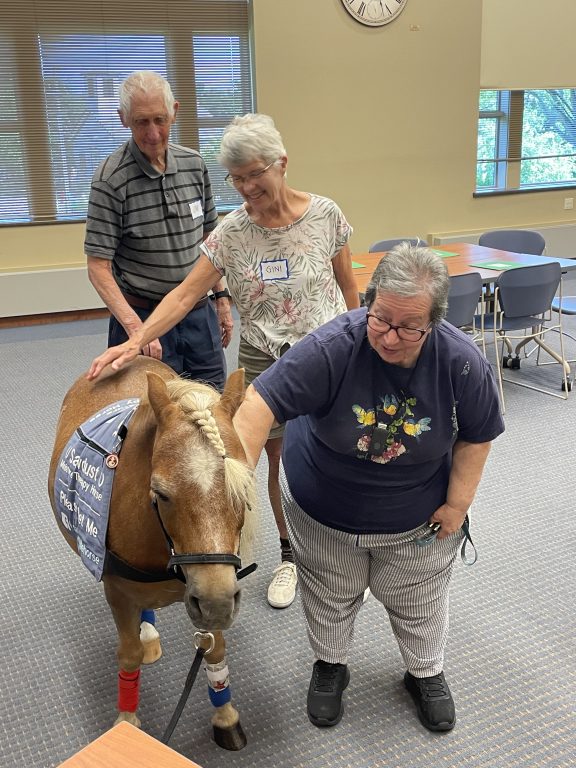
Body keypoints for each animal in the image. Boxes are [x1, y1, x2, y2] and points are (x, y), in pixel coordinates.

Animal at [48, 358, 255, 752]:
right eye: (161, 494)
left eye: (245, 487)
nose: (217, 602)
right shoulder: (118, 589)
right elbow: (128, 655)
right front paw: (127, 723)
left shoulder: (211, 584)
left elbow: (215, 649)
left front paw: (225, 716)